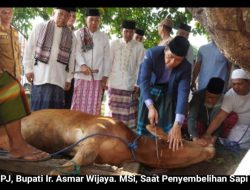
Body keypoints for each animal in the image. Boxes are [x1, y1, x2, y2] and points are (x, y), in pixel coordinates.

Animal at [0, 109, 215, 174]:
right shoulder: (94, 136)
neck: (132, 144)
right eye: (188, 139)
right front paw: (57, 170)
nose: (212, 146)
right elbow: (81, 159)